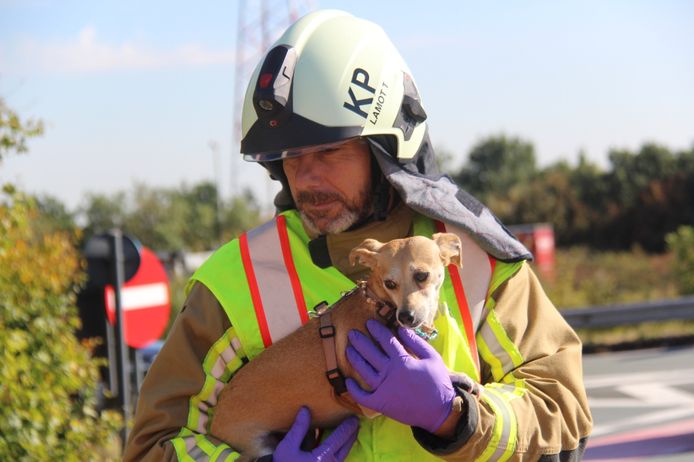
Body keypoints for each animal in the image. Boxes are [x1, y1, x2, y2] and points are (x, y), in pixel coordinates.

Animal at [209, 233, 464, 460]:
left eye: (422, 275)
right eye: (390, 283)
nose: (406, 317)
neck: (380, 306)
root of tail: (215, 419)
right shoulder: (372, 400)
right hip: (257, 446)